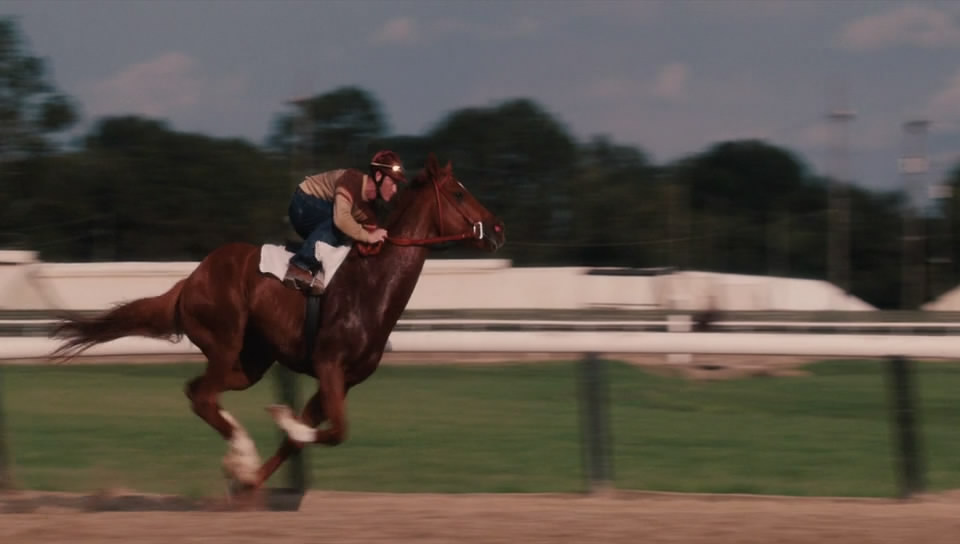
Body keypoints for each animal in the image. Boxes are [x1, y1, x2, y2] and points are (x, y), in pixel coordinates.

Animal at [48, 151, 506, 496]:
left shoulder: (342, 380)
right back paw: (243, 451)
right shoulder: (329, 366)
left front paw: (251, 478)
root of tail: (190, 279)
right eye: (458, 192)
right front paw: (273, 431)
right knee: (203, 395)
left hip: (249, 363)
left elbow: (301, 437)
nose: (498, 229)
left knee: (198, 393)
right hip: (225, 342)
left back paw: (240, 458)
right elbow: (334, 432)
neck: (371, 285)